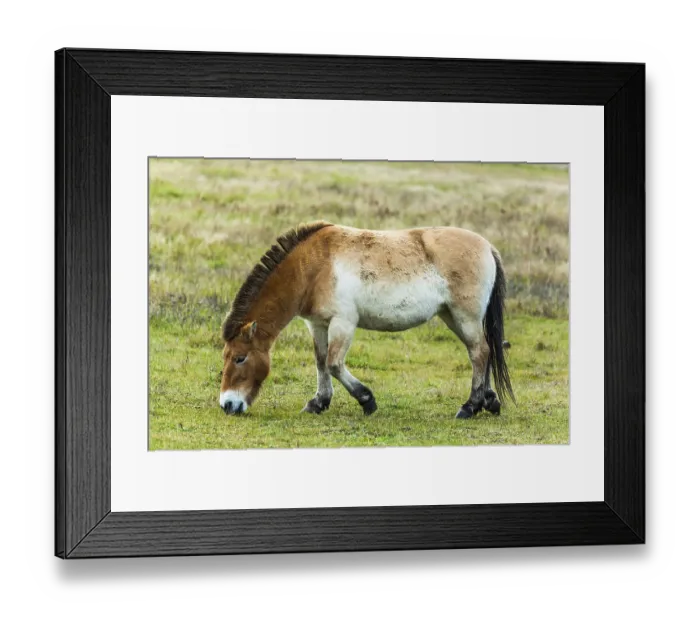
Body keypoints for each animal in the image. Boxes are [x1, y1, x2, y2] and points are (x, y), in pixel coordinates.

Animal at [219, 221, 514, 420]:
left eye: (240, 358)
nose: (227, 405)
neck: (313, 267)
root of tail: (487, 247)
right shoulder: (317, 324)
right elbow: (321, 361)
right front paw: (318, 402)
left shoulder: (343, 322)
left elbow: (334, 364)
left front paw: (367, 401)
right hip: (452, 316)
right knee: (484, 351)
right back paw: (489, 401)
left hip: (466, 317)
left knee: (479, 353)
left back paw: (470, 406)